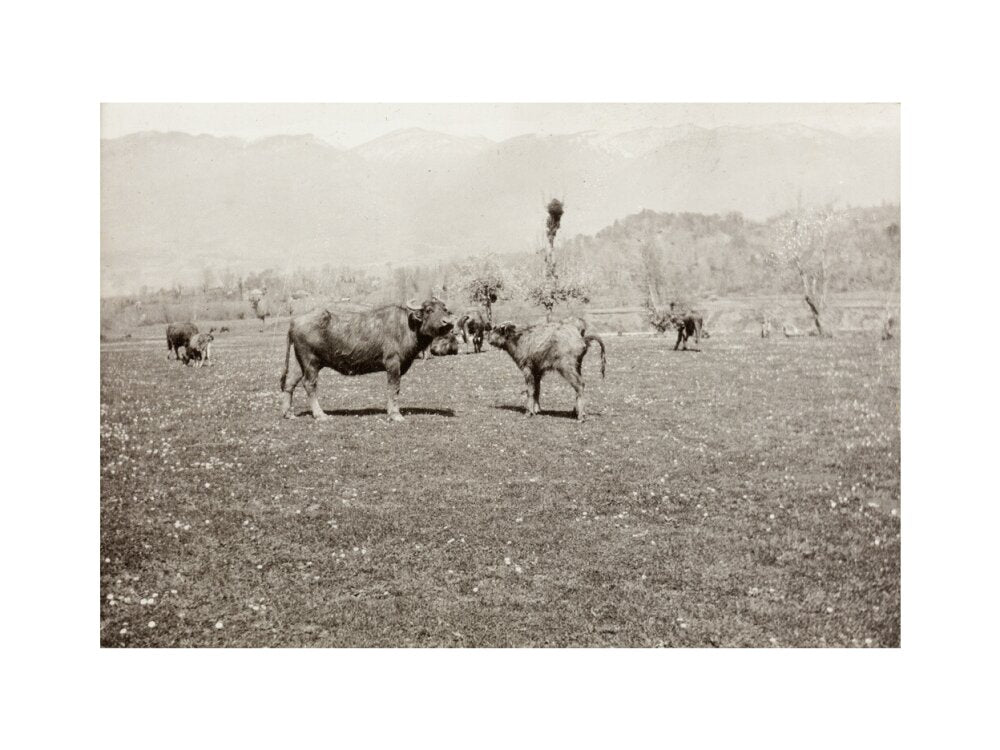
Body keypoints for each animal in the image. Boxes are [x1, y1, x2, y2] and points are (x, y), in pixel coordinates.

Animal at [279, 298, 455, 422]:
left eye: (445, 309)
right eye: (429, 310)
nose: (448, 323)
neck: (407, 326)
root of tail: (294, 322)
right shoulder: (393, 363)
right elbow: (393, 388)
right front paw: (395, 414)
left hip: (298, 362)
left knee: (289, 383)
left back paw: (288, 413)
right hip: (311, 362)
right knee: (309, 384)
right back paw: (320, 415)